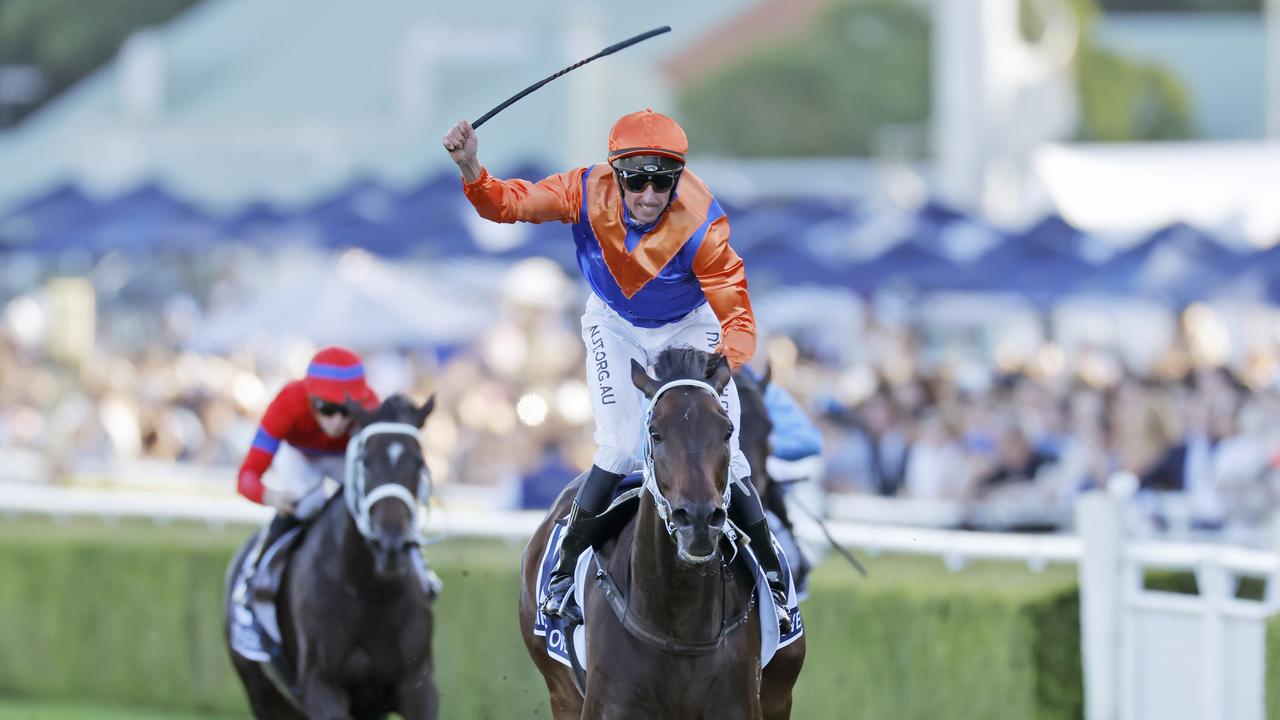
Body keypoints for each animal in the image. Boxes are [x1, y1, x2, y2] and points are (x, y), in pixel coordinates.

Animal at [222, 392, 437, 717]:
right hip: (262, 693)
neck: (368, 591)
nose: (390, 544)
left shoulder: (418, 683)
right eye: (365, 460)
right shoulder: (320, 685)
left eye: (419, 461)